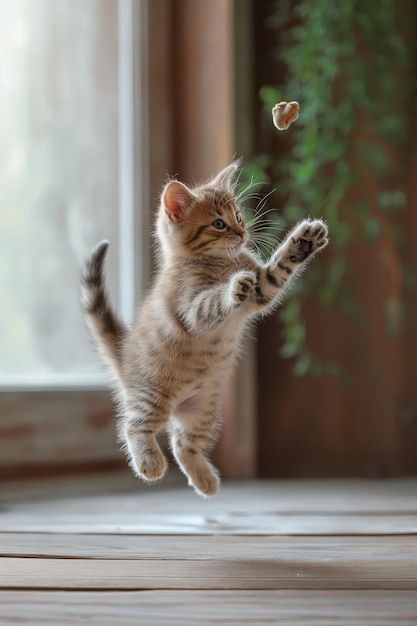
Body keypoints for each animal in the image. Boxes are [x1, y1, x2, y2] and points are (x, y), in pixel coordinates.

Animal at [80, 163, 328, 494]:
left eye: (238, 216)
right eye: (219, 224)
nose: (242, 232)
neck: (220, 262)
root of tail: (124, 354)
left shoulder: (263, 288)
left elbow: (276, 271)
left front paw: (303, 242)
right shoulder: (190, 308)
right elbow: (210, 303)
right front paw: (233, 288)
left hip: (203, 412)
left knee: (182, 445)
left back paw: (205, 480)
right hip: (151, 395)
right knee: (133, 426)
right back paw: (150, 463)